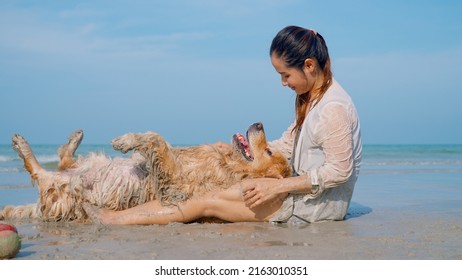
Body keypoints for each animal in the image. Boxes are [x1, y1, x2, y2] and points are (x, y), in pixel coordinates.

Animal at [0, 122, 290, 223]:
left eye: (268, 152)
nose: (259, 122)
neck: (229, 165)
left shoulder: (174, 183)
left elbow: (156, 138)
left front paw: (127, 140)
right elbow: (161, 142)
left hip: (61, 192)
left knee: (40, 173)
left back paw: (23, 146)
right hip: (82, 166)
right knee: (63, 160)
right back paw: (74, 138)